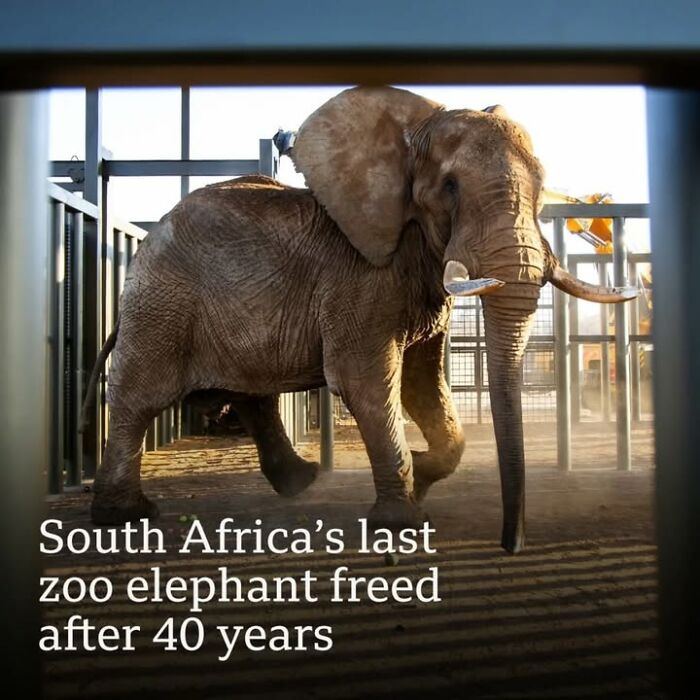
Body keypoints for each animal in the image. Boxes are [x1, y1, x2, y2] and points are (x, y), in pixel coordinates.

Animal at [82, 86, 636, 553]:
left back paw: (300, 481)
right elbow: (366, 381)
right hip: (162, 302)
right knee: (139, 398)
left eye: (543, 188)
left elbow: (421, 381)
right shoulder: (359, 275)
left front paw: (421, 474)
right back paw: (125, 516)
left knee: (251, 394)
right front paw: (402, 522)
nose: (511, 544)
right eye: (451, 187)